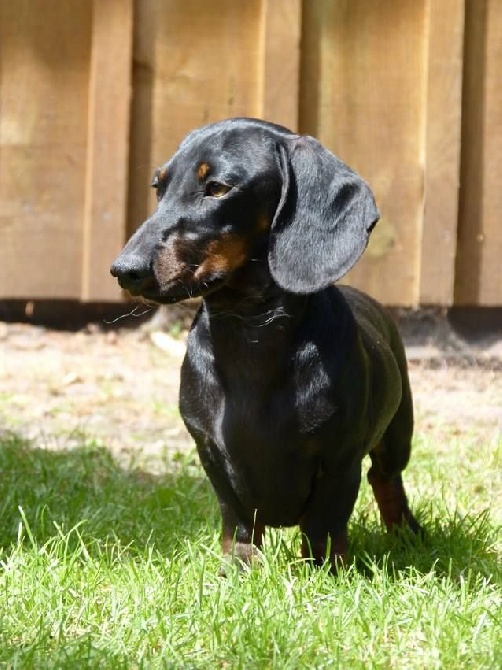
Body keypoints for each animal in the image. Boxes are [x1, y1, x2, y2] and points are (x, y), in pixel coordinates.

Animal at [112, 118, 422, 568]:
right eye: (158, 187)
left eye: (218, 188)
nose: (124, 270)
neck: (250, 332)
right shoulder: (211, 455)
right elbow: (238, 519)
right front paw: (238, 567)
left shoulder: (339, 460)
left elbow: (324, 526)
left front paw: (325, 572)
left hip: (397, 432)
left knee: (386, 478)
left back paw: (407, 534)